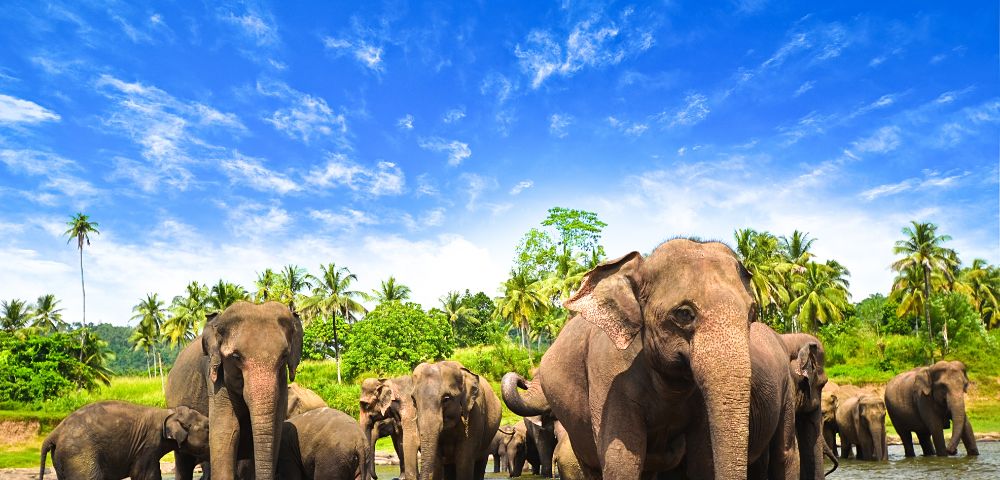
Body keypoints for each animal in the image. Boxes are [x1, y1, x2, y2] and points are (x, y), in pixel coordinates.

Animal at [39, 401, 209, 480]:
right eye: (207, 428)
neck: (169, 412)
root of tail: (54, 433)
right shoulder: (147, 444)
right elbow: (144, 475)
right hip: (79, 455)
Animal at [166, 301, 303, 480]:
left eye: (284, 357)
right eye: (236, 357)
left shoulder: (281, 383)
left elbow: (276, 431)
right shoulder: (215, 377)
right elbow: (226, 431)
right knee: (183, 461)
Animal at [501, 239, 799, 480]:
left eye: (752, 313)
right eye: (683, 314)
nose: (523, 381)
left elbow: (703, 460)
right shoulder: (608, 374)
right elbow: (622, 460)